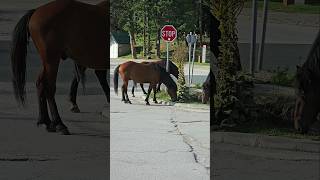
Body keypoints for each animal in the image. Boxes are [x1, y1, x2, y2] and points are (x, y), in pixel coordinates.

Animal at [10, 0, 109, 135]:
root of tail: (36, 12)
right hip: (52, 59)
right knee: (49, 87)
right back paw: (59, 124)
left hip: (47, 61)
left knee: (40, 83)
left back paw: (46, 121)